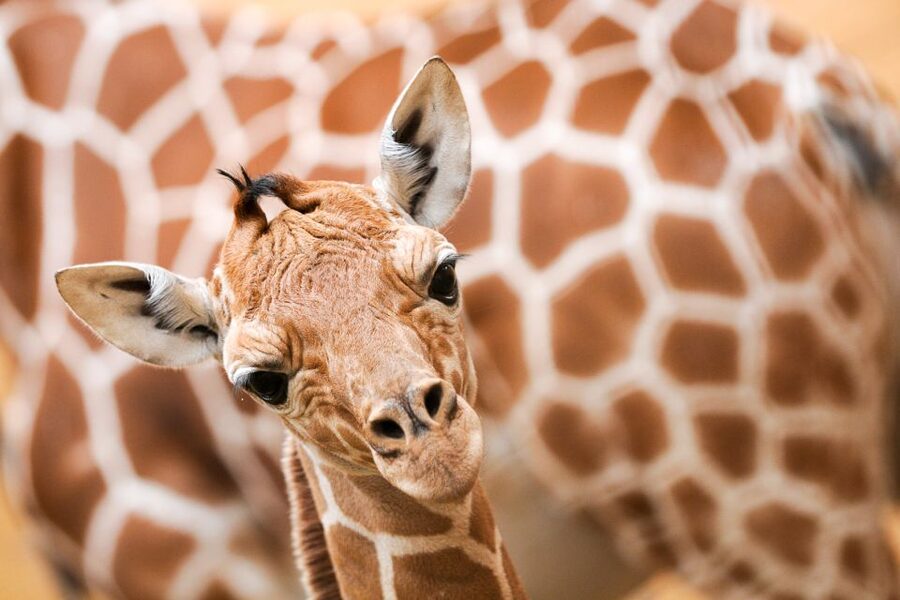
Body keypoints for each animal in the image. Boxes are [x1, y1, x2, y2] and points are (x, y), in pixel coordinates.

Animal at [1, 0, 899, 598]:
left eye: (445, 274)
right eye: (258, 381)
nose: (427, 435)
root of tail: (817, 108)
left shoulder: (173, 552)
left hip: (759, 502)